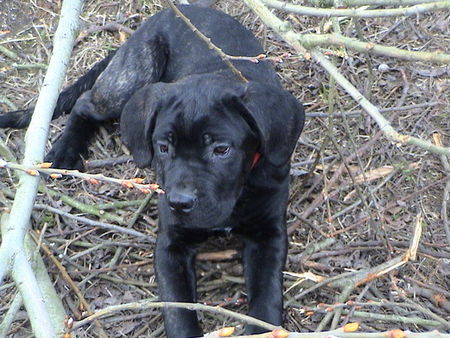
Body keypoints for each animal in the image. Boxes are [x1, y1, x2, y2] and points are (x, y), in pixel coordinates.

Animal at [0, 3, 306, 336]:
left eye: (221, 149)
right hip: (132, 77)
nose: (180, 203)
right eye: (163, 147)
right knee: (84, 104)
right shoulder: (170, 243)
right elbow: (178, 309)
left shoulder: (269, 233)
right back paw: (65, 150)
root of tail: (167, 13)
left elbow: (266, 294)